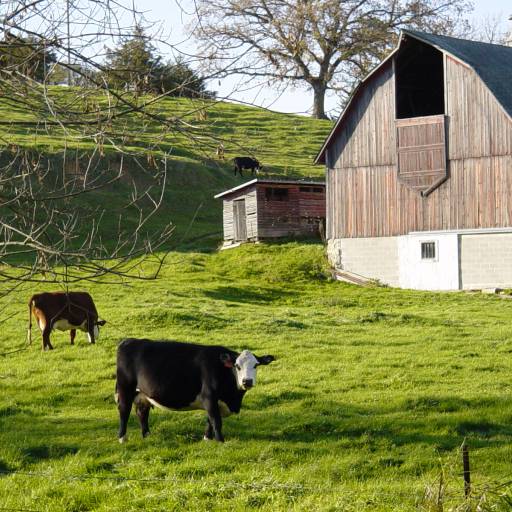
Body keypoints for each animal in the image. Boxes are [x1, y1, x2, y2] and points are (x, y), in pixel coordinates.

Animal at [116, 338, 276, 442]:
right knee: (124, 412)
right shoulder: (209, 397)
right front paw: (220, 441)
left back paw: (147, 436)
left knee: (142, 413)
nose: (247, 381)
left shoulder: (214, 402)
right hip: (125, 388)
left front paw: (207, 439)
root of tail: (129, 341)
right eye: (237, 366)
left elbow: (209, 420)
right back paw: (122, 438)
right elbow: (216, 421)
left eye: (256, 365)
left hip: (142, 394)